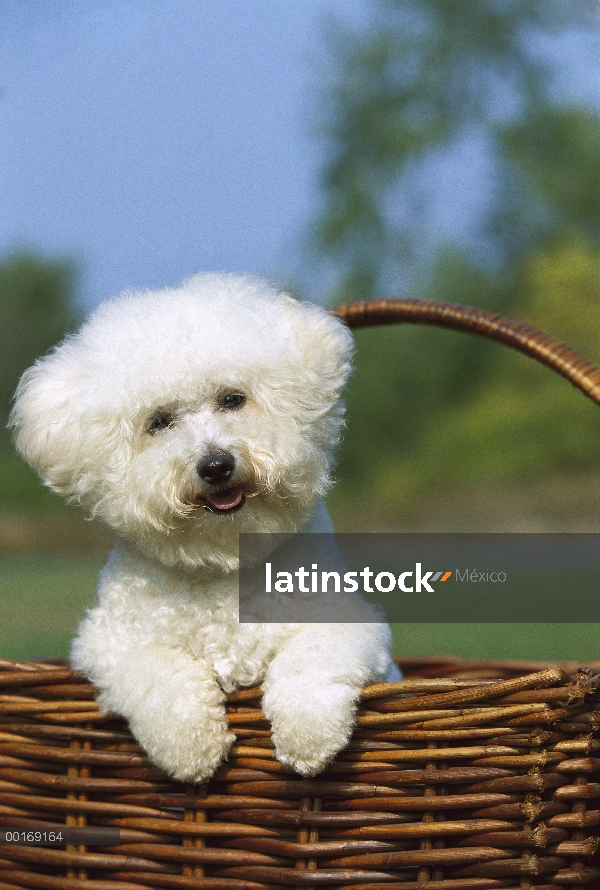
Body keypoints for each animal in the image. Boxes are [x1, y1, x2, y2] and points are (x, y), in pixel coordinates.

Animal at [11, 274, 396, 780]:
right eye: (159, 422)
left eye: (232, 398)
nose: (216, 466)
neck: (222, 560)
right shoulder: (112, 642)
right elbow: (160, 677)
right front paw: (191, 749)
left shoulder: (344, 619)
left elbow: (309, 662)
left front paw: (309, 738)